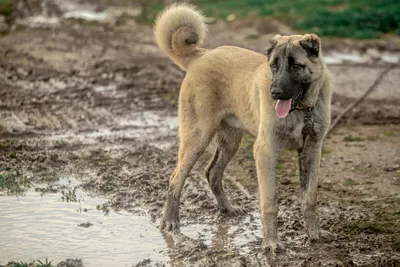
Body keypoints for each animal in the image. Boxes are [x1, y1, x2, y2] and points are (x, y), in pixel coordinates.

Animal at [155, 4, 332, 255]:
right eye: (274, 66)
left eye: (296, 66)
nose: (275, 93)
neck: (303, 109)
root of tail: (201, 55)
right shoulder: (265, 152)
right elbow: (270, 203)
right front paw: (271, 243)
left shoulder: (311, 152)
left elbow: (309, 197)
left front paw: (314, 233)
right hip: (197, 138)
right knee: (176, 177)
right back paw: (170, 221)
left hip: (230, 141)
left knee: (212, 172)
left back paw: (226, 208)